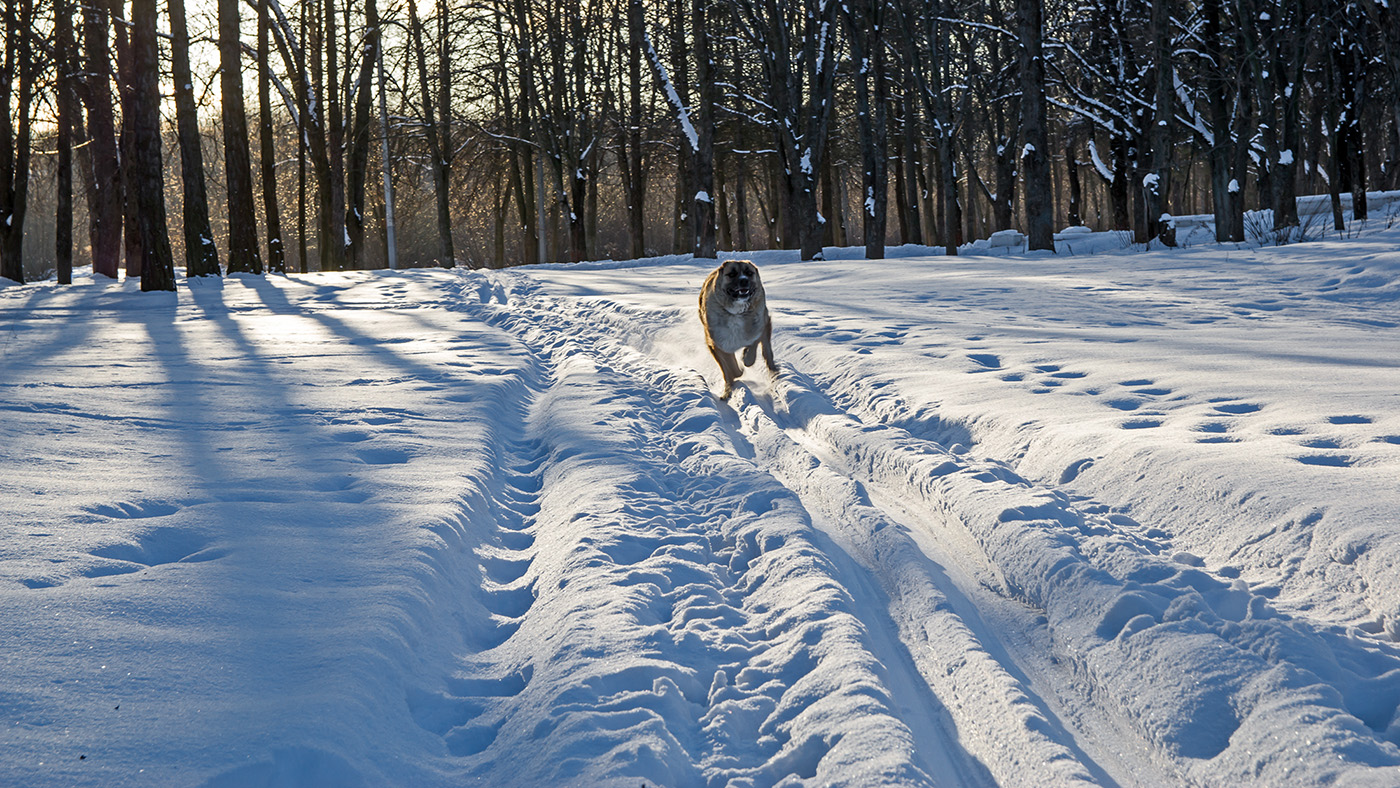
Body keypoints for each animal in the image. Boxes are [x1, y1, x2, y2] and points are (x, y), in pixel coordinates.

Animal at [697, 260, 778, 400]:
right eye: (732, 274)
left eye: (749, 273)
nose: (744, 280)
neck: (736, 312)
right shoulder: (717, 343)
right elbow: (730, 368)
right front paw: (736, 375)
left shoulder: (759, 325)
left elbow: (753, 347)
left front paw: (746, 357)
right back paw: (727, 391)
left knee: (767, 352)